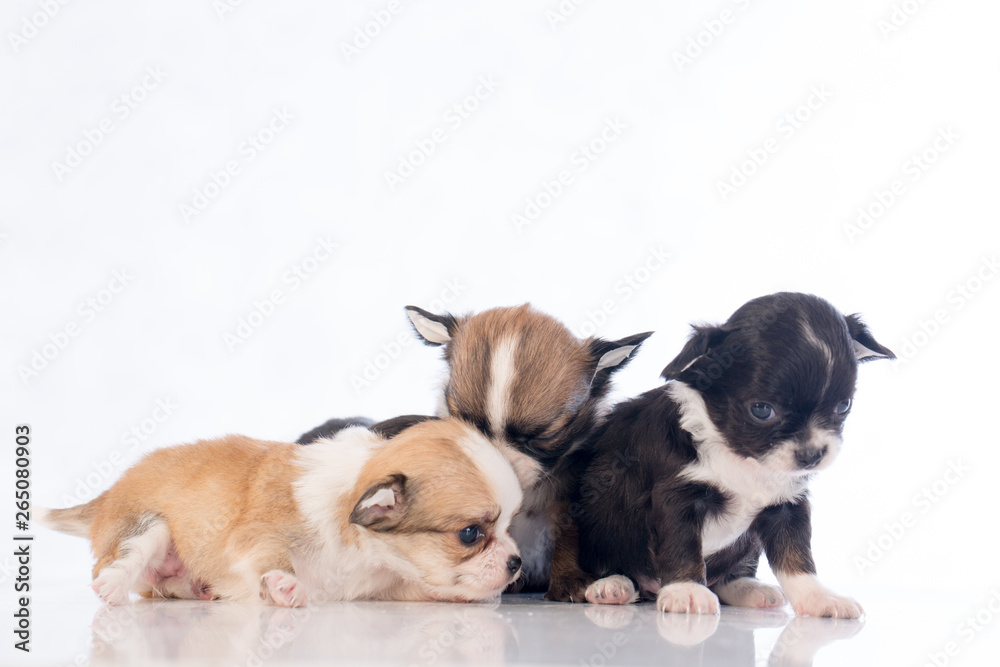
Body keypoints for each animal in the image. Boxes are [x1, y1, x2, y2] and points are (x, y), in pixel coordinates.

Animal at [39, 420, 524, 608]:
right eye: (470, 534)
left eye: (508, 525)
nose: (517, 562)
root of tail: (107, 494)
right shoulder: (255, 533)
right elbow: (271, 553)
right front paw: (284, 584)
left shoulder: (387, 586)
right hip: (147, 524)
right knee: (124, 560)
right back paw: (113, 585)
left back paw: (196, 587)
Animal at [568, 294, 896, 620]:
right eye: (762, 410)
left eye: (843, 406)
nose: (813, 455)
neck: (742, 459)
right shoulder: (677, 497)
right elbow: (682, 546)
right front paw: (686, 590)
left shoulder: (786, 504)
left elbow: (796, 557)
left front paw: (818, 597)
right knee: (617, 567)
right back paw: (613, 586)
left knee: (727, 577)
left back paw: (750, 589)